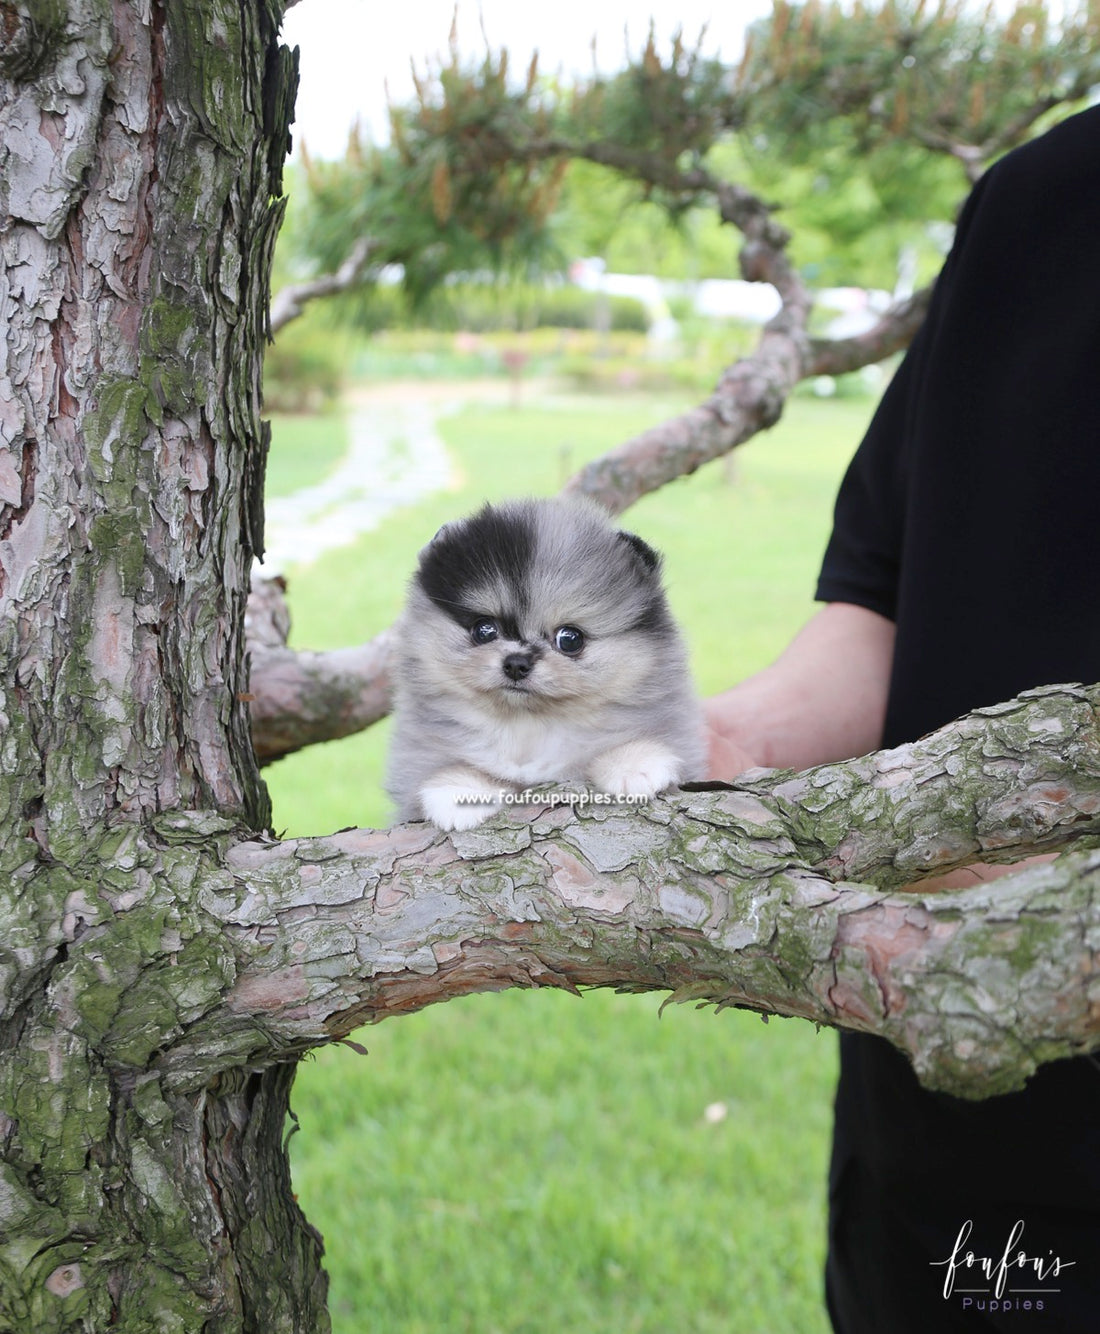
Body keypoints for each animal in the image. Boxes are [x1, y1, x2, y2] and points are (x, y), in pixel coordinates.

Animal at [386, 496, 704, 827]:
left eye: (570, 639)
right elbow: (450, 765)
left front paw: (635, 765)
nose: (516, 663)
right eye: (484, 630)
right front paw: (458, 790)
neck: (528, 728)